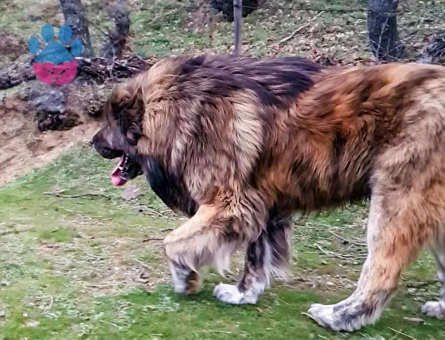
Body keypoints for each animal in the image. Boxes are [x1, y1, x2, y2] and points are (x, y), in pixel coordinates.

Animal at [89, 55, 444, 332]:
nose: (91, 141)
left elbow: (173, 243)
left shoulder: (229, 204)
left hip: (395, 202)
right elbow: (255, 257)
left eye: (109, 122)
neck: (178, 109)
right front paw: (243, 294)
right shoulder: (257, 204)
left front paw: (185, 278)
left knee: (381, 273)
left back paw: (337, 317)